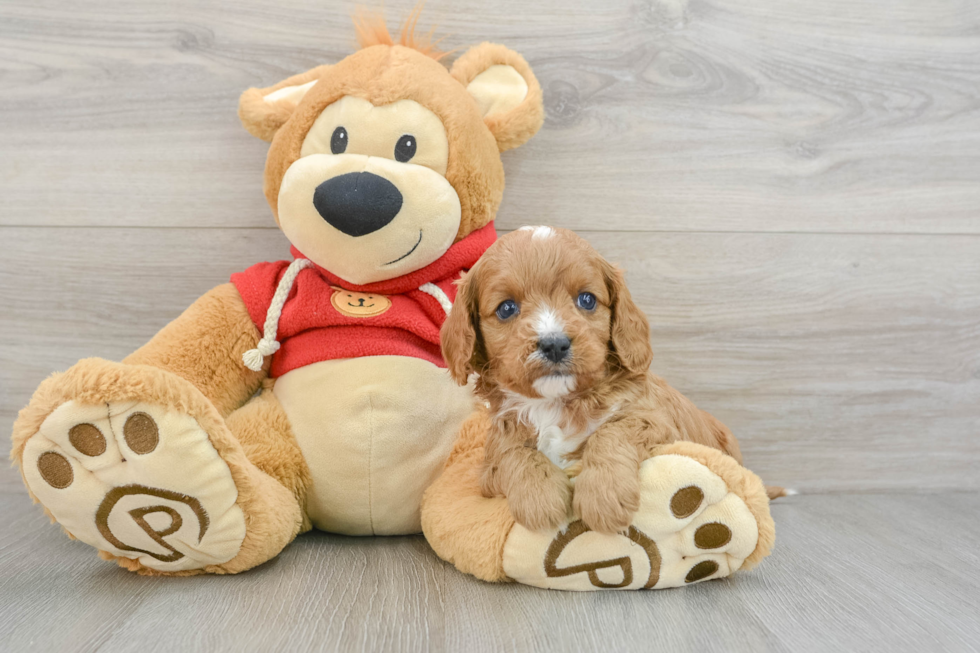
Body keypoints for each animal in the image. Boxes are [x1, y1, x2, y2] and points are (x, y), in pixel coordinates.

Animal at [440, 227, 756, 532]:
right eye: (506, 308)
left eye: (587, 300)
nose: (554, 344)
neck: (555, 403)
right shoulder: (491, 459)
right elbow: (513, 454)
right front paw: (539, 498)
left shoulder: (657, 422)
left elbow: (611, 432)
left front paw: (604, 496)